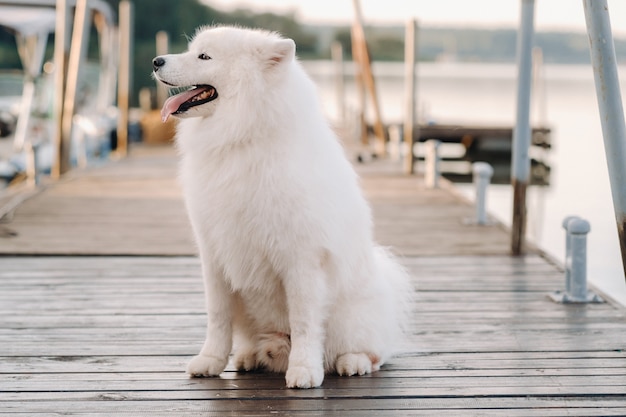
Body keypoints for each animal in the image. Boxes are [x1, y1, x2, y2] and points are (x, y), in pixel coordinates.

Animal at [152, 26, 410, 388]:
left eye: (204, 56)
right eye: (192, 51)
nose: (156, 60)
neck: (241, 138)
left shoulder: (301, 258)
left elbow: (303, 320)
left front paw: (304, 371)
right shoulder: (214, 253)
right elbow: (217, 315)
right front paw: (210, 361)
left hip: (353, 316)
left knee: (374, 353)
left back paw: (352, 361)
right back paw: (250, 357)